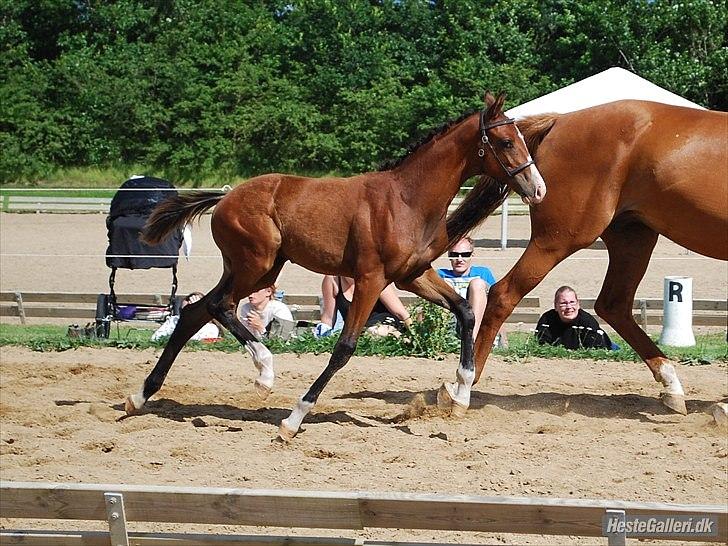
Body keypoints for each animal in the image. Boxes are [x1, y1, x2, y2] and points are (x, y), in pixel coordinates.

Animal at [125, 93, 544, 438]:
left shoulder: (411, 276)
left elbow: (465, 313)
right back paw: (264, 372)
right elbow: (344, 347)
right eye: (506, 142)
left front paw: (459, 394)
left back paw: (140, 396)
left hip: (260, 269)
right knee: (217, 305)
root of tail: (226, 197)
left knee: (195, 311)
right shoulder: (372, 279)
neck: (406, 199)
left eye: (522, 139)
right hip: (255, 264)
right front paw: (293, 420)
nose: (538, 189)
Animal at [446, 99, 724, 412]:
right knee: (504, 294)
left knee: (613, 305)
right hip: (558, 239)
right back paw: (462, 389)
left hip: (632, 238)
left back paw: (671, 385)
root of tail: (560, 120)